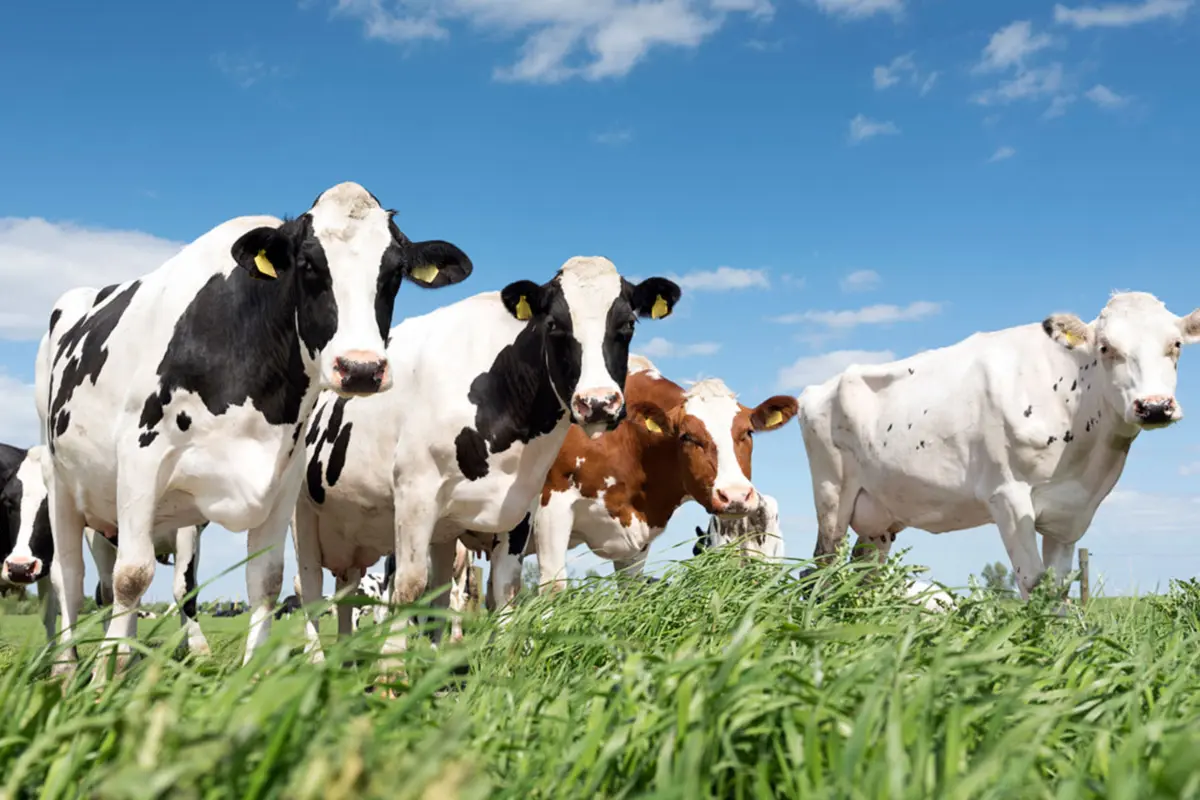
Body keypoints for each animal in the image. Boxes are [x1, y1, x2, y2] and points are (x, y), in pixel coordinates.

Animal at [34, 183, 472, 676]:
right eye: (308, 264)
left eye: (394, 272)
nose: (361, 368)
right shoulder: (140, 456)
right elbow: (132, 576)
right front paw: (103, 680)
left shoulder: (283, 479)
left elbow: (266, 579)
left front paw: (252, 672)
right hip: (62, 481)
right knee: (71, 577)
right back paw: (68, 666)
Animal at [294, 256, 681, 671]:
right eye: (554, 325)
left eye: (628, 325)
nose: (598, 403)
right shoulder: (415, 493)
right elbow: (408, 586)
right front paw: (390, 674)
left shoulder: (520, 508)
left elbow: (504, 588)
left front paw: (504, 664)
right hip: (302, 513)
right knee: (311, 590)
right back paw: (316, 661)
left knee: (368, 592)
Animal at [796, 291, 1200, 597]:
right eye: (1105, 347)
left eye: (1176, 345)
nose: (1154, 406)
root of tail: (816, 389)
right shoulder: (1008, 495)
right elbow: (1033, 582)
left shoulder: (1071, 513)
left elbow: (1058, 588)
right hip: (832, 495)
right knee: (820, 568)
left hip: (878, 514)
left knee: (865, 574)